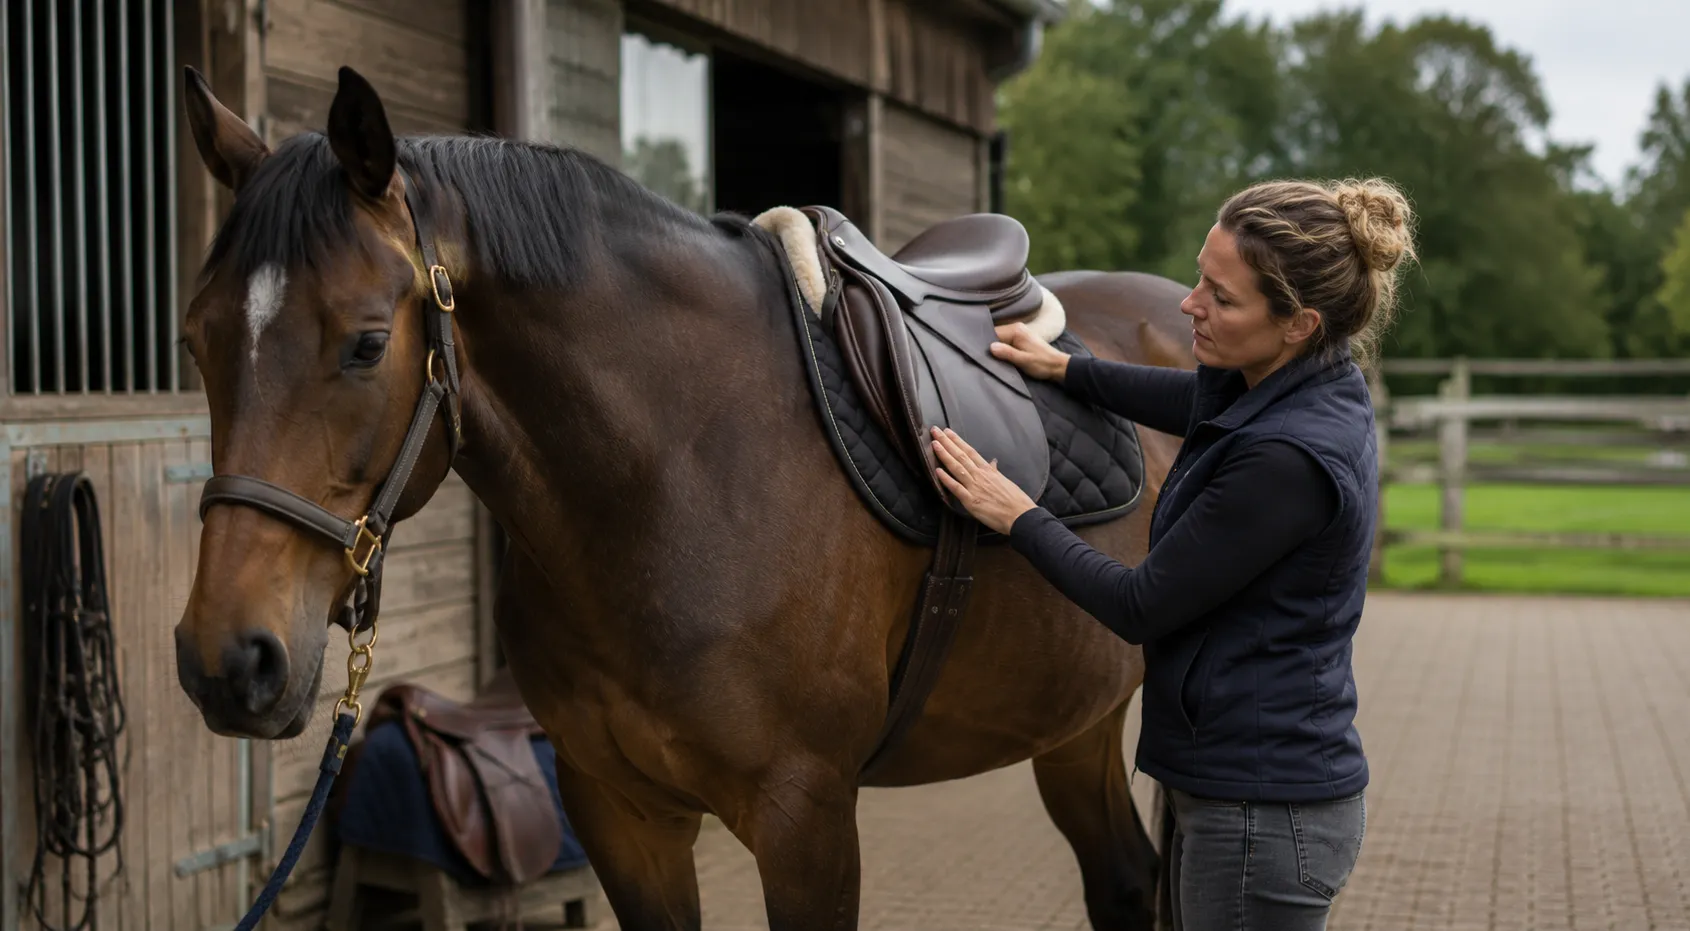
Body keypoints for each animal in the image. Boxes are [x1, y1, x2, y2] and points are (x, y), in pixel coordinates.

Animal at [172, 65, 1198, 931]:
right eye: (195, 339)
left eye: (367, 343)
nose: (229, 659)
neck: (676, 476)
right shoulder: (619, 810)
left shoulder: (806, 817)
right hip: (1077, 718)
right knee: (1122, 878)